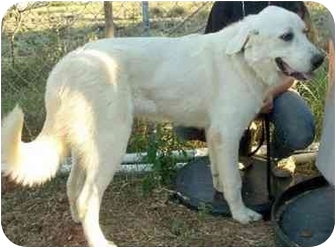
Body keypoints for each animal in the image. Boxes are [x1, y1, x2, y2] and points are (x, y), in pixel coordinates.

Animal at [1, 5, 324, 246]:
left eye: (304, 32)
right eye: (286, 36)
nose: (320, 59)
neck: (244, 61)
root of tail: (67, 64)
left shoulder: (215, 134)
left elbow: (219, 171)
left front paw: (220, 191)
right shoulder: (227, 133)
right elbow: (234, 181)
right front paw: (241, 214)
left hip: (87, 148)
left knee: (72, 187)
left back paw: (77, 220)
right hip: (111, 145)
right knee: (88, 197)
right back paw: (99, 240)